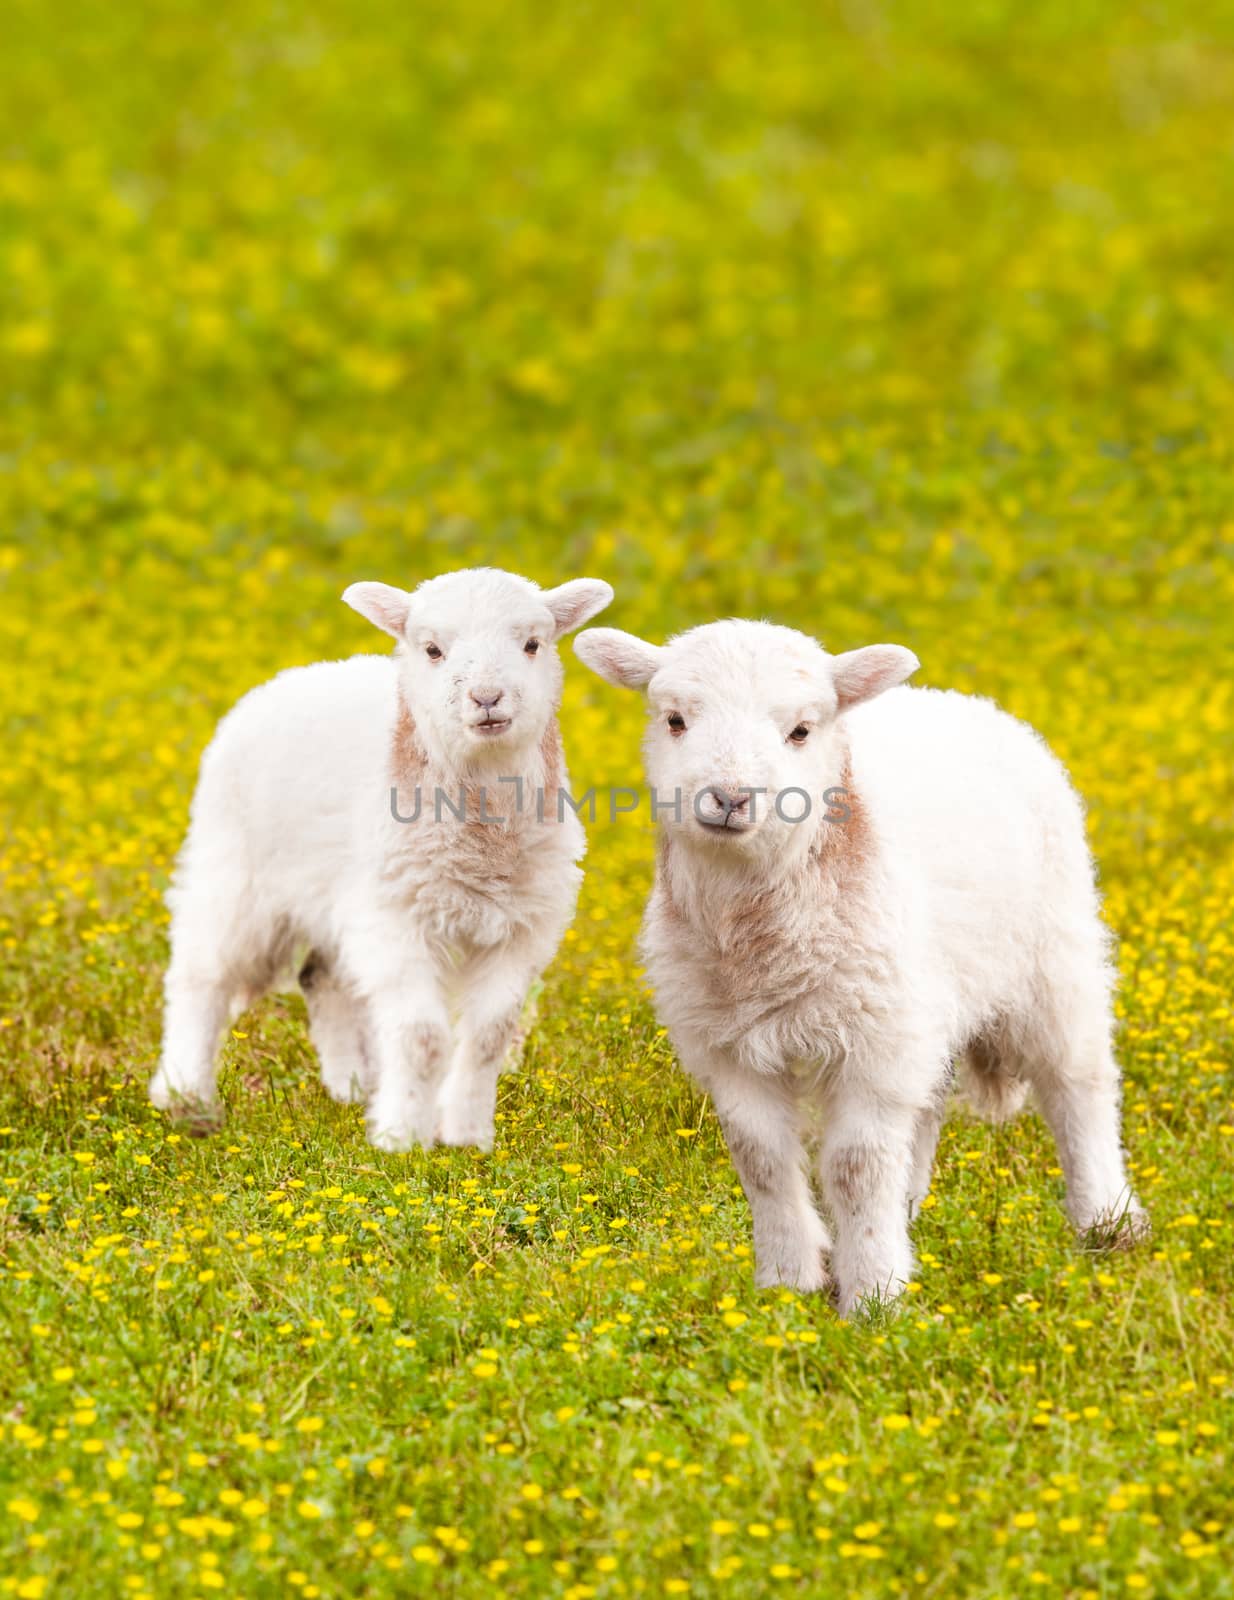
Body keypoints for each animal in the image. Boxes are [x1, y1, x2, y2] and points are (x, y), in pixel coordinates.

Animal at [149, 563, 611, 1152]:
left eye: (533, 644)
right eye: (432, 649)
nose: (486, 698)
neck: (484, 838)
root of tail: (300, 674)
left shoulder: (521, 927)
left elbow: (488, 1034)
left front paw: (466, 1135)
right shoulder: (397, 922)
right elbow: (421, 1035)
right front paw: (403, 1138)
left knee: (321, 979)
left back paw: (352, 1084)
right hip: (234, 868)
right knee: (199, 975)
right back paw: (183, 1093)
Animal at [576, 620, 1145, 1312]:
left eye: (801, 730)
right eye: (675, 719)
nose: (730, 799)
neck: (758, 943)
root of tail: (952, 698)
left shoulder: (873, 1043)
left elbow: (855, 1167)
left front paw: (875, 1296)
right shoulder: (727, 1042)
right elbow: (761, 1157)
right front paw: (788, 1281)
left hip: (1052, 953)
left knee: (1078, 1081)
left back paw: (1107, 1220)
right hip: (922, 994)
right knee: (927, 1103)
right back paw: (909, 1210)